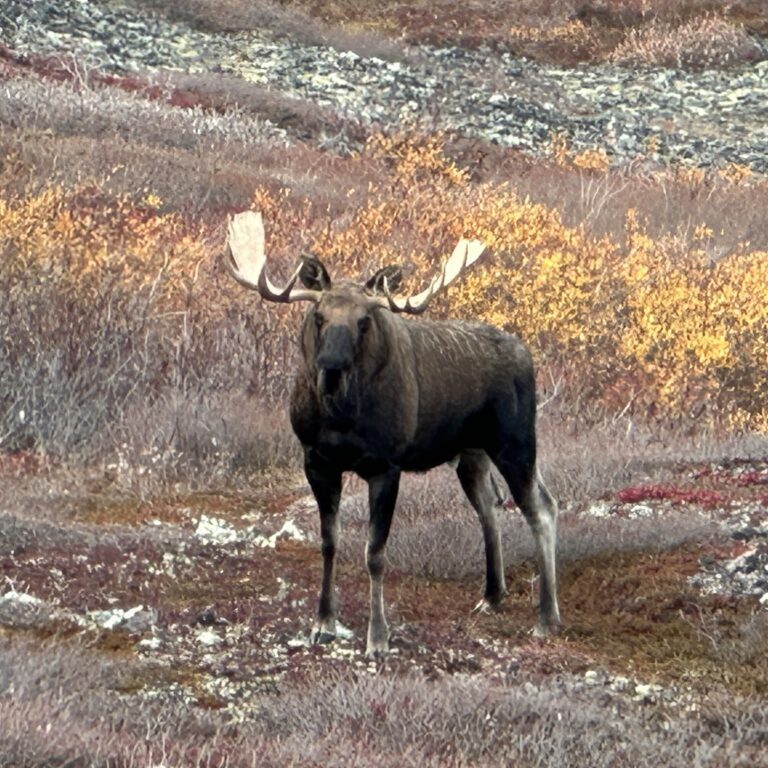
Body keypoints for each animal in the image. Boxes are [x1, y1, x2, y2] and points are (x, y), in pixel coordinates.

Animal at [225, 210, 560, 658]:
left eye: (364, 321)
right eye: (319, 317)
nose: (331, 368)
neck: (342, 419)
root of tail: (527, 354)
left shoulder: (386, 466)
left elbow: (375, 553)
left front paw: (378, 636)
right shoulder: (316, 460)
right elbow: (329, 542)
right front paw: (322, 622)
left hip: (516, 441)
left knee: (541, 507)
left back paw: (546, 617)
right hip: (471, 453)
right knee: (490, 506)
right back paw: (492, 595)